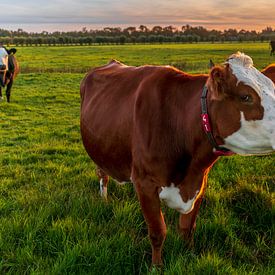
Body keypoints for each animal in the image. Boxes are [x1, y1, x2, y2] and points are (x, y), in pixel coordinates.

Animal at [80, 52, 275, 266]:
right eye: (246, 96)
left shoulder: (200, 182)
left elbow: (187, 228)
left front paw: (188, 254)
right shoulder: (144, 183)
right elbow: (158, 232)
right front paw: (156, 266)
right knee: (102, 174)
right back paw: (104, 199)